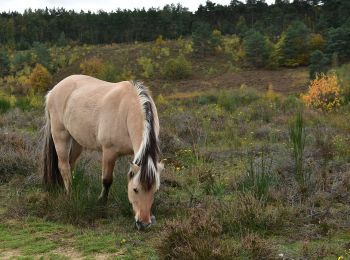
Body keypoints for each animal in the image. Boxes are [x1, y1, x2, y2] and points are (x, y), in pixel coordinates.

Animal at [41, 75, 163, 230]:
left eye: (155, 190)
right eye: (135, 189)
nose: (144, 223)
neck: (128, 109)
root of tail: (54, 90)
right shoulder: (109, 152)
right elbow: (107, 180)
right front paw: (101, 203)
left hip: (76, 142)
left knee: (70, 164)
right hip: (61, 135)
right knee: (63, 166)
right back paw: (70, 194)